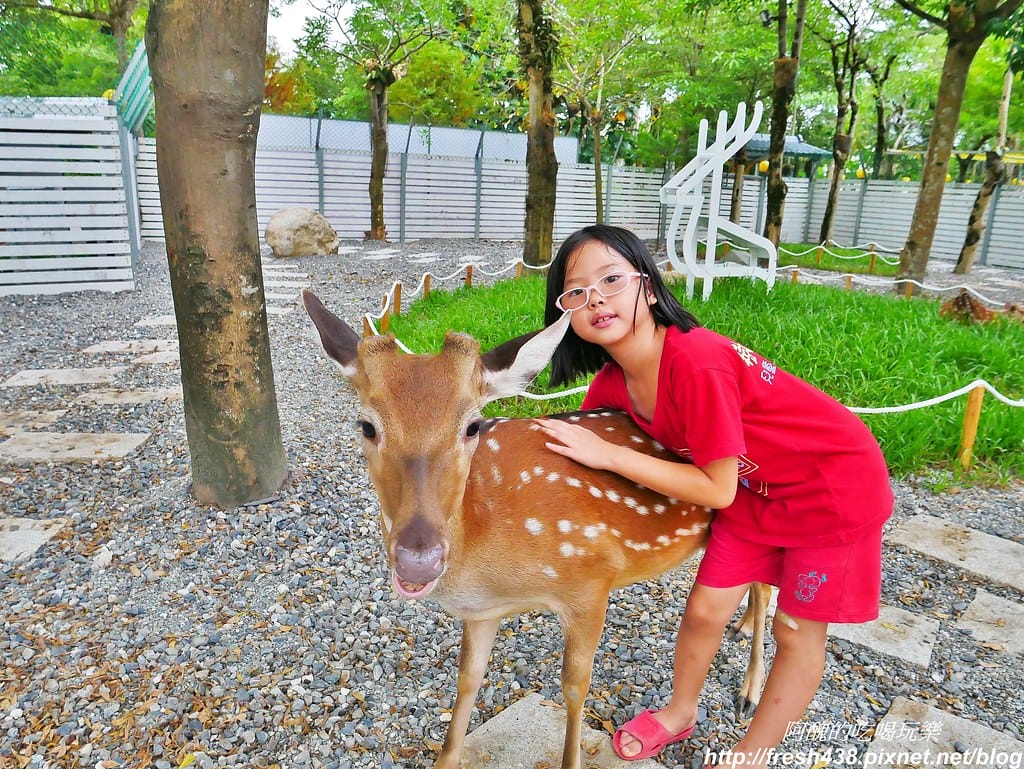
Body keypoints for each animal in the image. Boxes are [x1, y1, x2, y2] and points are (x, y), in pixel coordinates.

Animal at [301, 289, 769, 769]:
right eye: (366, 425)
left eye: (473, 425)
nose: (419, 557)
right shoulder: (483, 611)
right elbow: (468, 677)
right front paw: (447, 757)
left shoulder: (591, 579)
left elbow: (575, 687)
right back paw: (742, 628)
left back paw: (749, 693)